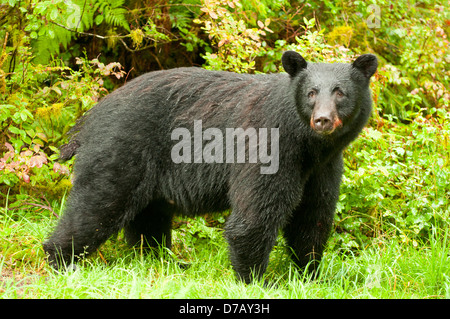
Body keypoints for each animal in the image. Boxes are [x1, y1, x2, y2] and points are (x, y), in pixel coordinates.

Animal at [44, 51, 378, 284]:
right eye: (311, 93)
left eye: (340, 92)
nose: (322, 120)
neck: (308, 145)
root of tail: (89, 118)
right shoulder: (269, 148)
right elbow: (254, 217)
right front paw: (256, 282)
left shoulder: (323, 168)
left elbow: (313, 218)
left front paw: (310, 275)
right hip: (121, 151)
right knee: (96, 206)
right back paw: (61, 260)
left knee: (148, 219)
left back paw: (161, 261)